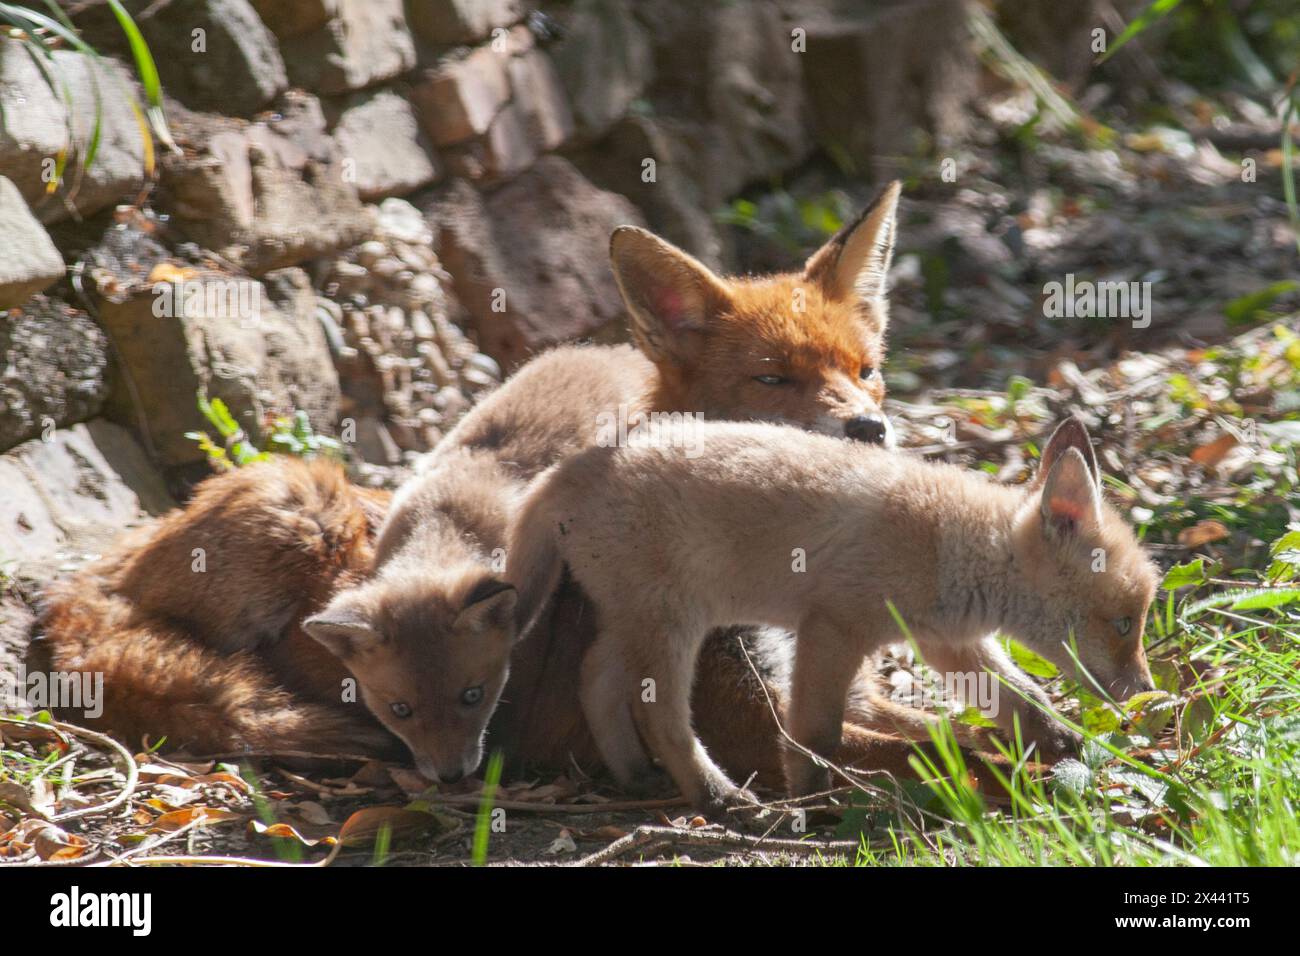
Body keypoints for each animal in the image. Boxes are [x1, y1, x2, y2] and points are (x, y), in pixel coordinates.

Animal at [506, 416, 1159, 811]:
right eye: (1125, 623)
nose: (1146, 694)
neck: (951, 544)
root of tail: (566, 469)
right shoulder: (832, 628)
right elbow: (814, 734)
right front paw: (811, 801)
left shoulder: (948, 641)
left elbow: (1025, 698)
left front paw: (1067, 744)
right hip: (672, 628)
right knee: (661, 715)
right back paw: (718, 797)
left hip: (635, 622)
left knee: (593, 679)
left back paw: (635, 775)